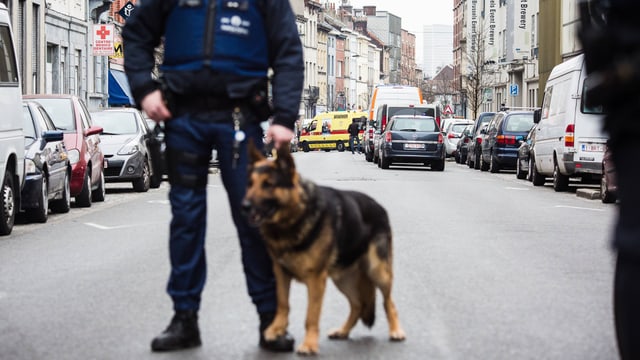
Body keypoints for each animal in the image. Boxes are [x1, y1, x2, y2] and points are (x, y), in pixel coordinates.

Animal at [241, 143, 404, 354]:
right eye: (250, 184)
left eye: (268, 184)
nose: (244, 206)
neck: (294, 218)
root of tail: (379, 206)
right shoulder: (281, 274)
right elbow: (283, 305)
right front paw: (275, 330)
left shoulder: (316, 280)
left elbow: (311, 315)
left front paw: (309, 344)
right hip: (343, 278)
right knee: (358, 305)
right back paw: (342, 331)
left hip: (378, 272)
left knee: (388, 302)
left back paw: (396, 331)